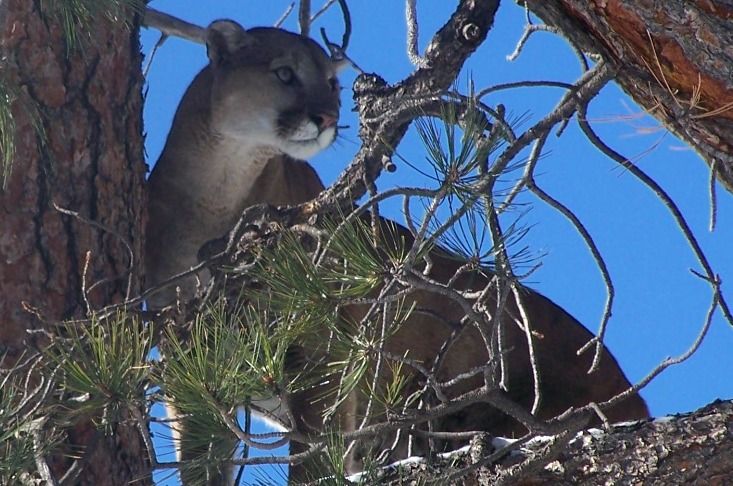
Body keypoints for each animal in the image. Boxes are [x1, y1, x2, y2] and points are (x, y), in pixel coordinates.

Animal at [146, 19, 648, 486]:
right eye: (285, 73)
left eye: (332, 84)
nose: (326, 117)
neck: (215, 196)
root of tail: (636, 397)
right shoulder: (188, 361)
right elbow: (202, 458)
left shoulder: (321, 349)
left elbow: (314, 453)